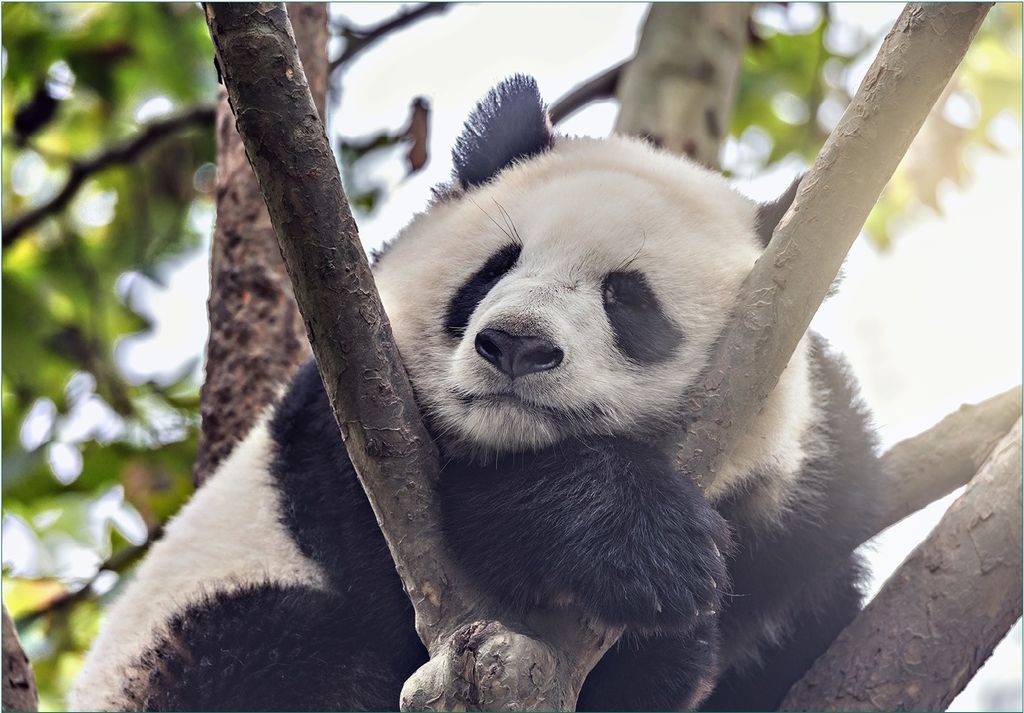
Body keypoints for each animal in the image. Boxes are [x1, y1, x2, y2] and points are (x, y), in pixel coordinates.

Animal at [71, 75, 880, 712]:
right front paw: (639, 547)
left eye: (628, 298)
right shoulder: (347, 409)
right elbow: (402, 545)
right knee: (280, 653)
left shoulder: (806, 503)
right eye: (495, 268)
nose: (515, 343)